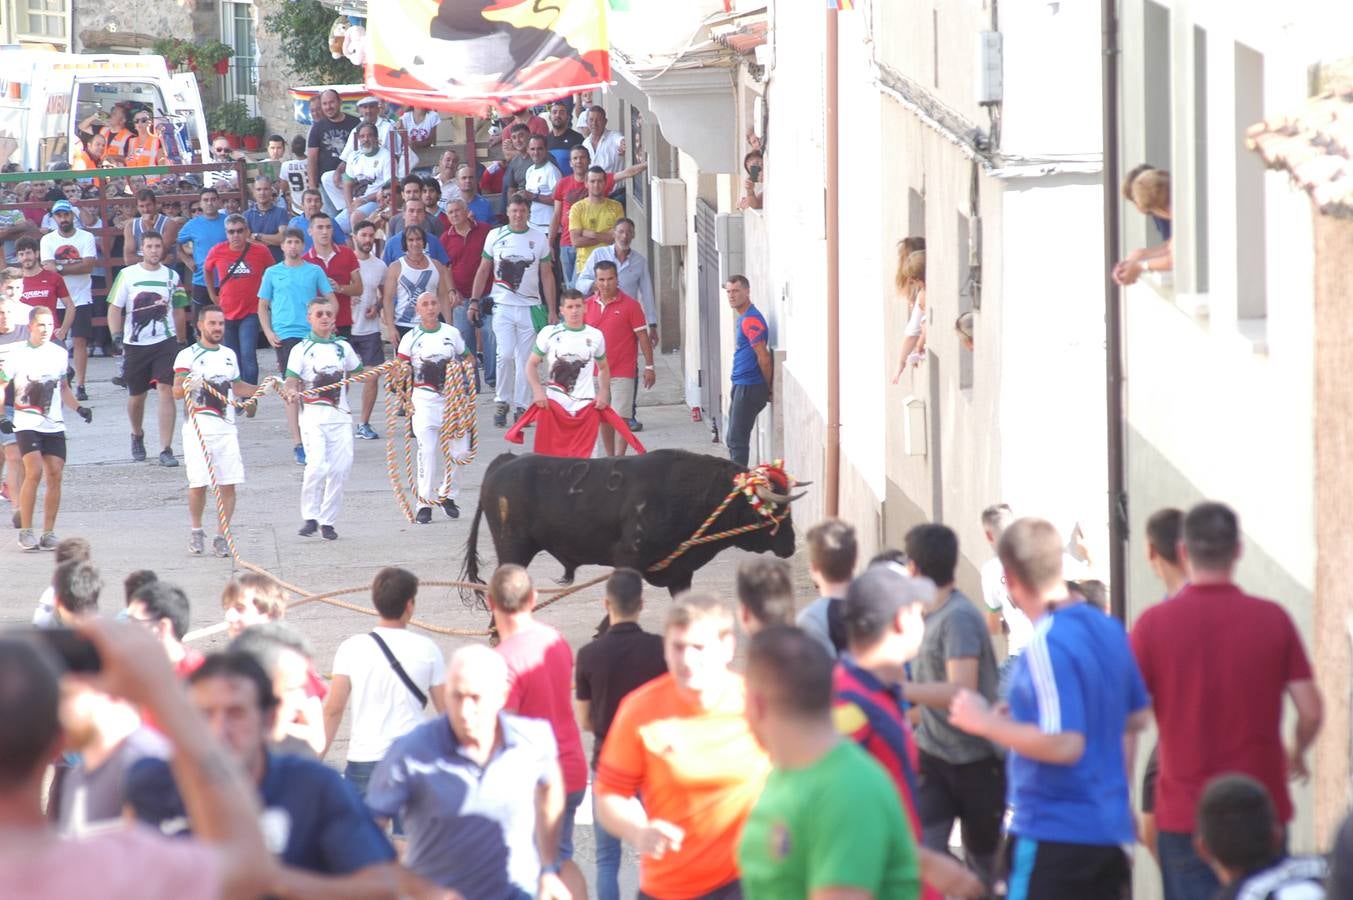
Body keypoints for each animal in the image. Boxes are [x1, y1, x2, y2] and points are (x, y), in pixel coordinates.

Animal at [465, 446, 800, 595]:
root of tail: (505, 461)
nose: (791, 545)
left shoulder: (680, 574)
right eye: (772, 510)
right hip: (513, 549)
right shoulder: (628, 559)